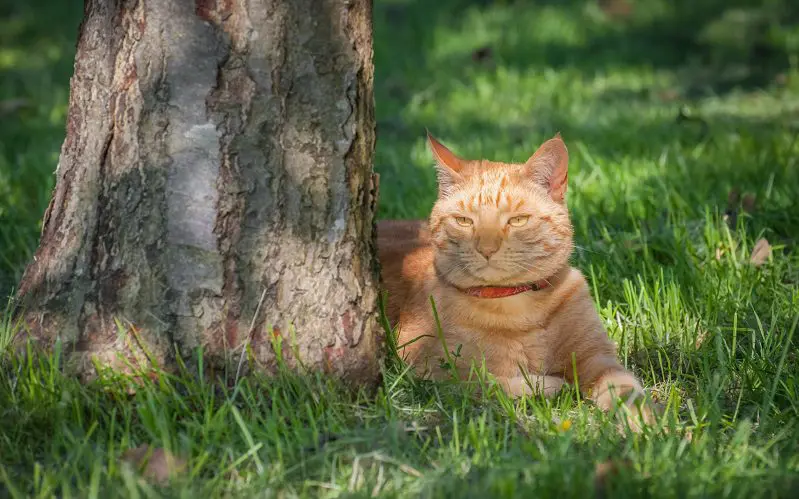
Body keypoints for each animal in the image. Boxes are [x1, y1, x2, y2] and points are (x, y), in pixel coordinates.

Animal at [382, 132, 656, 430]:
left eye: (518, 220)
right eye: (464, 221)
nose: (487, 249)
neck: (517, 307)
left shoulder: (599, 358)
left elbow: (627, 389)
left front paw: (645, 423)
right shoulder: (425, 368)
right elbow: (487, 381)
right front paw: (553, 385)